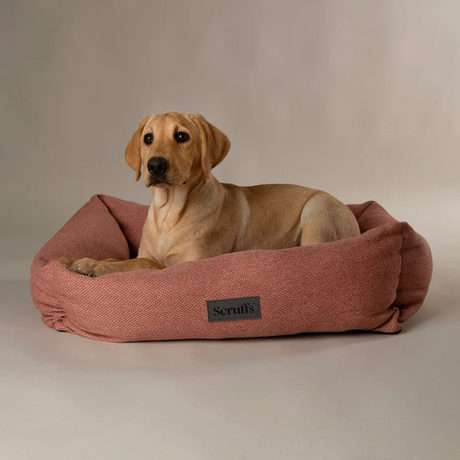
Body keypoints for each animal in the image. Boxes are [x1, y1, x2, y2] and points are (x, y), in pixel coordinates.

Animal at [61, 112, 362, 276]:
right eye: (148, 138)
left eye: (182, 137)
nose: (155, 166)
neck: (170, 211)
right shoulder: (145, 252)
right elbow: (126, 258)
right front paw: (84, 260)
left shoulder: (185, 265)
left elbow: (140, 264)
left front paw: (101, 268)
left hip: (318, 210)